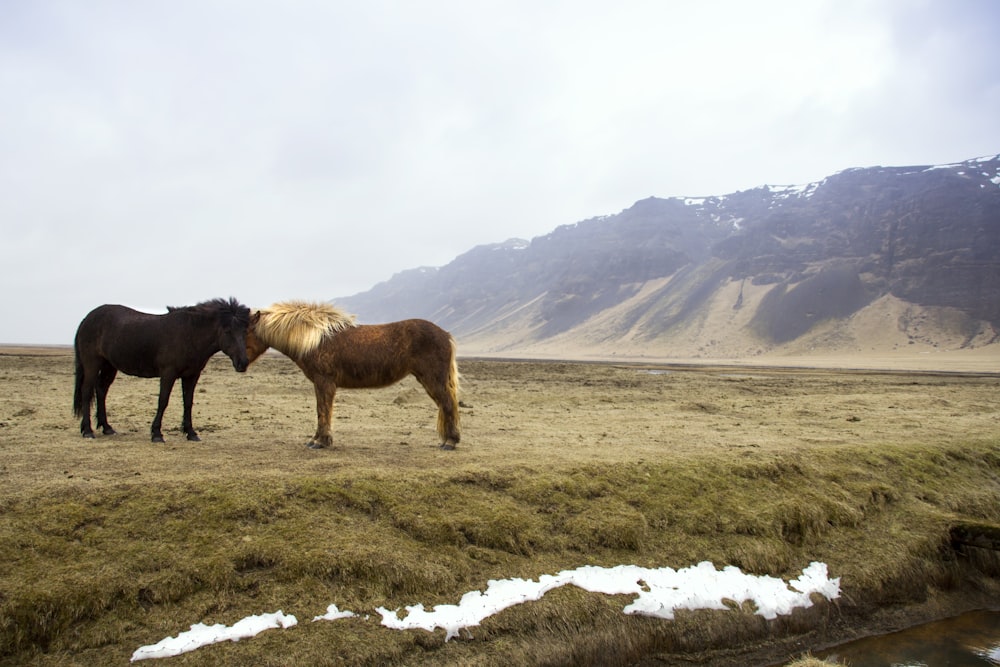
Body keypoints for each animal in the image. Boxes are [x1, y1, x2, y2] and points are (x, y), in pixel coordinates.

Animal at [73, 298, 252, 444]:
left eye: (244, 331)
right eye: (228, 330)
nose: (242, 363)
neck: (189, 334)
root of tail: (87, 319)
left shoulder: (191, 375)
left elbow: (188, 403)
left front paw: (191, 433)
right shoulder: (168, 373)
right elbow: (163, 401)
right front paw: (157, 434)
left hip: (109, 366)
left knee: (101, 390)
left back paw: (107, 427)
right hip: (92, 364)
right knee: (87, 391)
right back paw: (88, 431)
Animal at [244, 302, 462, 448]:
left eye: (246, 332)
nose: (241, 364)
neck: (316, 339)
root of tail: (445, 335)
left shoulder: (324, 382)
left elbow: (323, 410)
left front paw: (321, 441)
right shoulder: (321, 384)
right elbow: (321, 410)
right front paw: (316, 439)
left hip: (433, 379)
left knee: (447, 403)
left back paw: (450, 442)